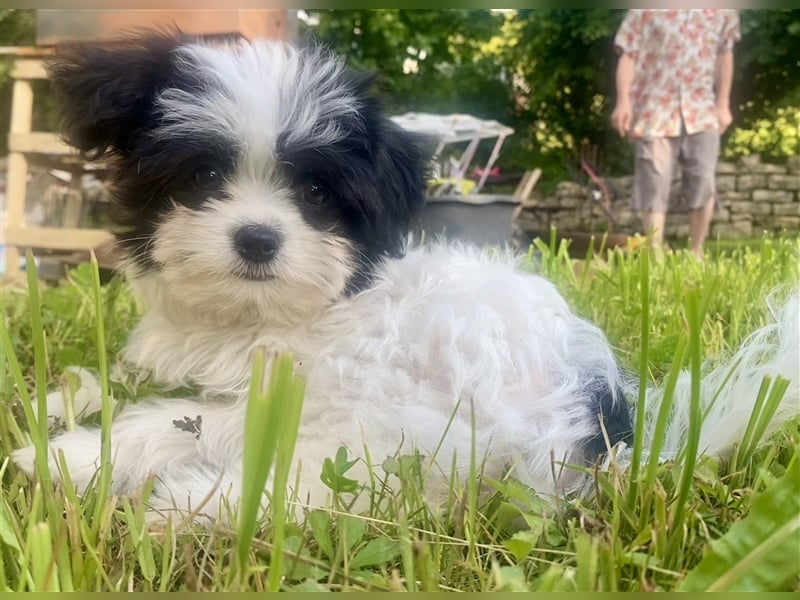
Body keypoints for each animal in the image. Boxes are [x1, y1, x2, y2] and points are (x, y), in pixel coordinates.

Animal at [10, 31, 792, 520]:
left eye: (316, 192)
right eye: (202, 176)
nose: (258, 238)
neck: (276, 316)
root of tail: (612, 430)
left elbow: (210, 427)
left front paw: (81, 460)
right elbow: (164, 406)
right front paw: (61, 432)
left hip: (422, 424)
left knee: (333, 481)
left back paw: (191, 507)